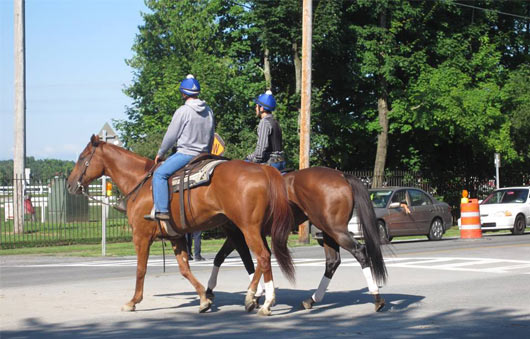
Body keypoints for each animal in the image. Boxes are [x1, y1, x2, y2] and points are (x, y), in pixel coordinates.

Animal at [66, 135, 292, 316]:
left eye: (82, 157)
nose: (69, 184)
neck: (140, 183)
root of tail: (263, 169)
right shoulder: (175, 237)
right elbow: (184, 269)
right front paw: (204, 299)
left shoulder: (141, 236)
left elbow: (140, 269)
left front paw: (133, 302)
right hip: (249, 229)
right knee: (258, 257)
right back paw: (253, 296)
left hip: (247, 228)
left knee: (262, 257)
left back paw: (265, 302)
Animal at [204, 167, 386, 314]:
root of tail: (341, 175)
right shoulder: (241, 234)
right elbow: (222, 258)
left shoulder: (239, 233)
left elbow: (247, 261)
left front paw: (254, 295)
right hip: (328, 232)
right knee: (332, 261)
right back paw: (312, 299)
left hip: (335, 230)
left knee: (359, 252)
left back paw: (376, 297)